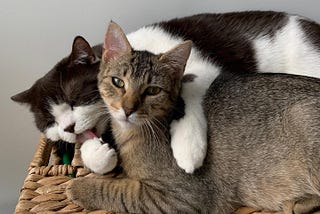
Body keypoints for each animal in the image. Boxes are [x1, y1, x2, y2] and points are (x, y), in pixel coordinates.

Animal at [12, 10, 320, 174]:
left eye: (75, 98)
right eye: (50, 122)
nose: (68, 127)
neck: (139, 49)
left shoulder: (200, 68)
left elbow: (188, 90)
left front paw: (188, 149)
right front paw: (97, 154)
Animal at [67, 21, 320, 214]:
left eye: (152, 90)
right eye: (118, 82)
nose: (127, 109)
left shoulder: (183, 198)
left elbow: (121, 192)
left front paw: (79, 187)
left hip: (302, 117)